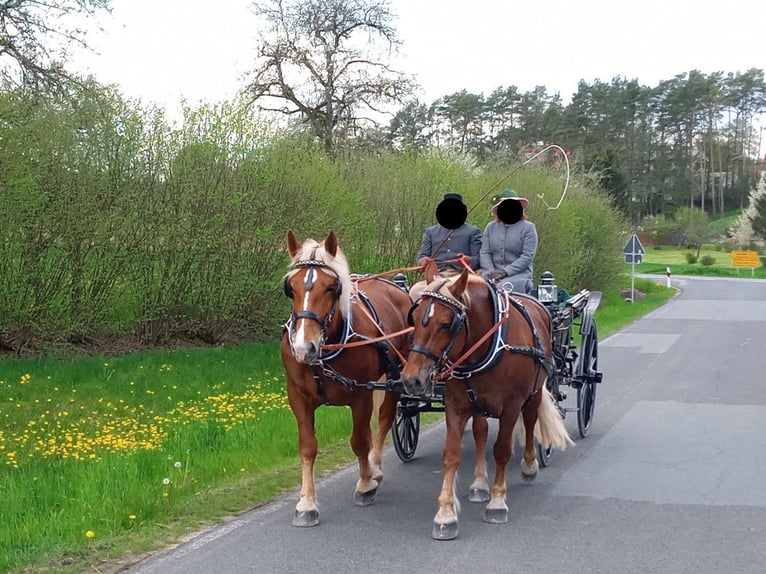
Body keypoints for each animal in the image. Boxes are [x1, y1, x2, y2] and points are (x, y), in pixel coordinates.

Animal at [282, 232, 414, 528]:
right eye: (291, 288)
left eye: (331, 287)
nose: (303, 348)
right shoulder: (297, 396)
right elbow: (307, 447)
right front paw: (306, 503)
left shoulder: (361, 395)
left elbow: (360, 441)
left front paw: (365, 485)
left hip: (397, 376)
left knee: (386, 417)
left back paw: (375, 469)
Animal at [400, 268, 572, 544]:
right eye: (413, 318)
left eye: (446, 324)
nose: (410, 379)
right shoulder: (456, 406)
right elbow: (451, 455)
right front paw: (445, 514)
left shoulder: (511, 406)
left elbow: (502, 450)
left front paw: (497, 503)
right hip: (478, 404)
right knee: (480, 432)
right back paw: (479, 483)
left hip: (534, 393)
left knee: (531, 422)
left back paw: (530, 466)